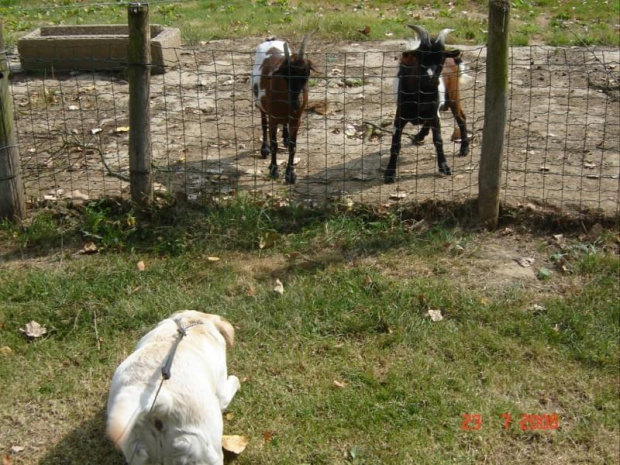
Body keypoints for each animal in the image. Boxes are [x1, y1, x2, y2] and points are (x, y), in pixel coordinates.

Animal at [106, 310, 240, 465]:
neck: (192, 325)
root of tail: (163, 402)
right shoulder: (222, 390)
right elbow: (233, 382)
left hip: (137, 449)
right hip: (204, 448)